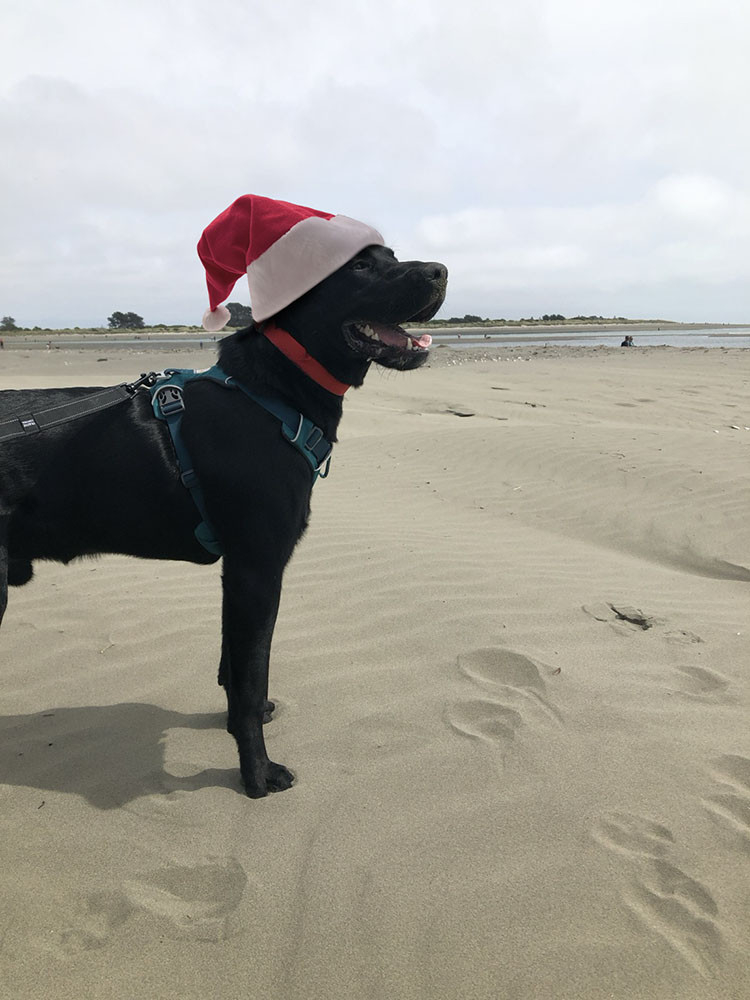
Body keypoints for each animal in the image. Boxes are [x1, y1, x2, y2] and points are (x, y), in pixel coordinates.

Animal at [0, 246, 446, 800]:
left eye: (390, 255)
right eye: (360, 266)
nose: (440, 272)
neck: (271, 393)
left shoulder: (237, 574)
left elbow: (235, 670)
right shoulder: (257, 569)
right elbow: (251, 677)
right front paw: (257, 775)